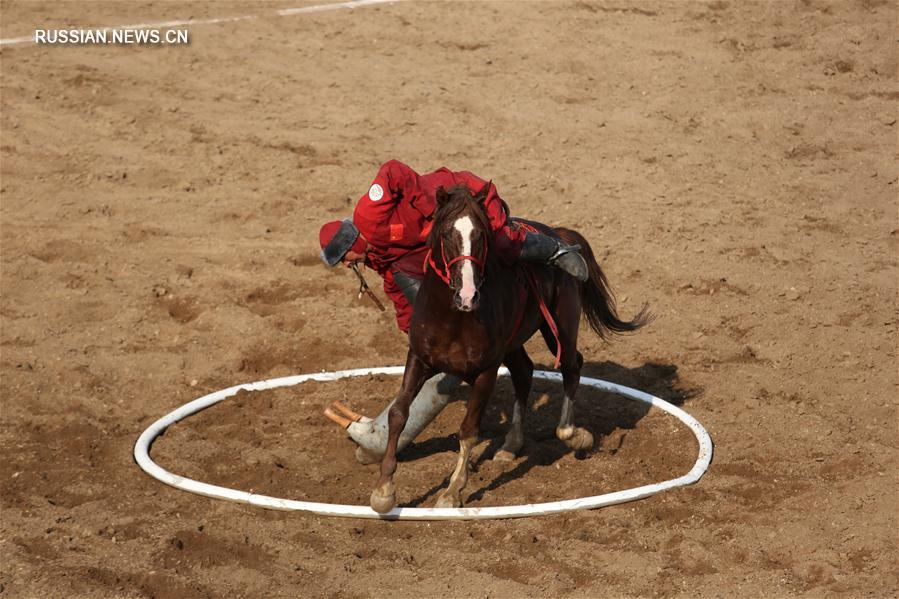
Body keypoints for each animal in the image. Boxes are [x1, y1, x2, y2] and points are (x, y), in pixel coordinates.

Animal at [370, 185, 652, 512]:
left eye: (481, 235)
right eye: (446, 234)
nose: (468, 294)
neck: (454, 317)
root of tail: (560, 234)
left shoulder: (486, 371)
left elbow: (469, 430)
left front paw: (452, 491)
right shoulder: (418, 359)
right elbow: (398, 414)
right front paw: (384, 489)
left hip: (560, 329)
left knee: (571, 367)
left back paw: (574, 435)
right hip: (514, 344)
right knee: (524, 372)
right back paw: (511, 445)